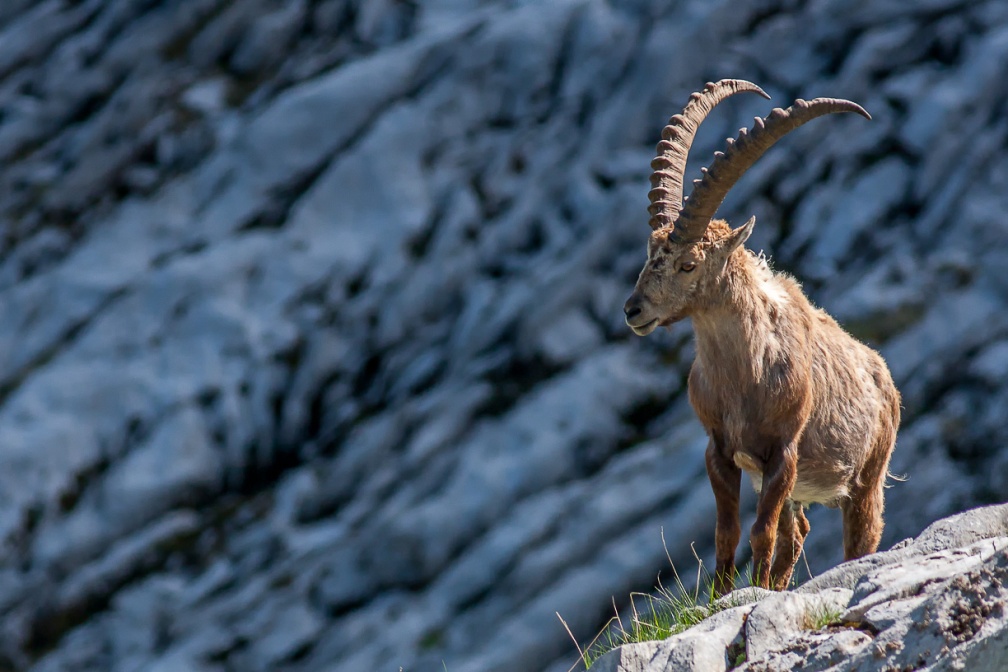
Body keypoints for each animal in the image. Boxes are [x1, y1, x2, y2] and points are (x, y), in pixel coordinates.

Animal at [623, 80, 901, 595]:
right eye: (649, 253)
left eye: (688, 264)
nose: (633, 310)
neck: (743, 377)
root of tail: (883, 375)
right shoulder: (720, 450)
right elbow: (728, 531)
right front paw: (720, 597)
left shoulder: (783, 453)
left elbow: (760, 532)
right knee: (798, 532)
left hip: (867, 478)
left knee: (858, 538)